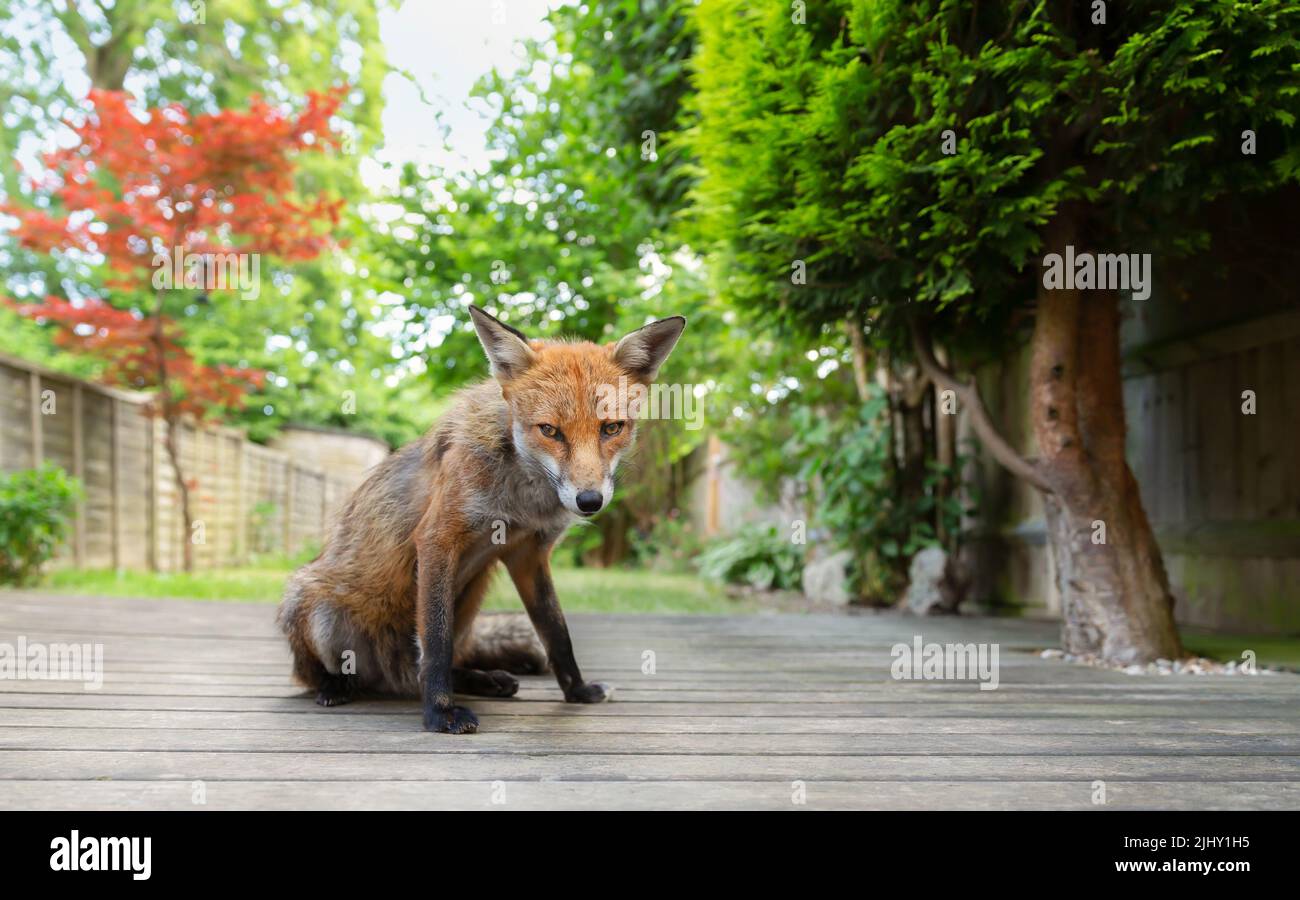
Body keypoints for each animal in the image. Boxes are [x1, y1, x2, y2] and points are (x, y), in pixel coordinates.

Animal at [277, 305, 685, 733]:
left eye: (611, 428)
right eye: (550, 430)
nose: (589, 500)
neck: (522, 502)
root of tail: (391, 674)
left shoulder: (528, 554)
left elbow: (557, 635)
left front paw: (578, 692)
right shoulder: (437, 538)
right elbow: (436, 644)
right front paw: (439, 713)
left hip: (470, 598)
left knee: (434, 667)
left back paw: (485, 680)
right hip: (315, 607)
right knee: (325, 673)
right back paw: (335, 686)